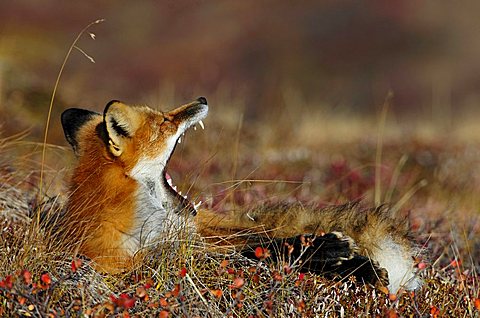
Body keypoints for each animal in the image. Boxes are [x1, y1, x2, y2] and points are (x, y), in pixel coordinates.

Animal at [61, 97, 424, 294]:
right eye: (164, 121)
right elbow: (255, 254)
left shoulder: (194, 244)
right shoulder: (136, 264)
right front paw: (332, 253)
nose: (202, 99)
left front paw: (338, 256)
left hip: (215, 231)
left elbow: (264, 247)